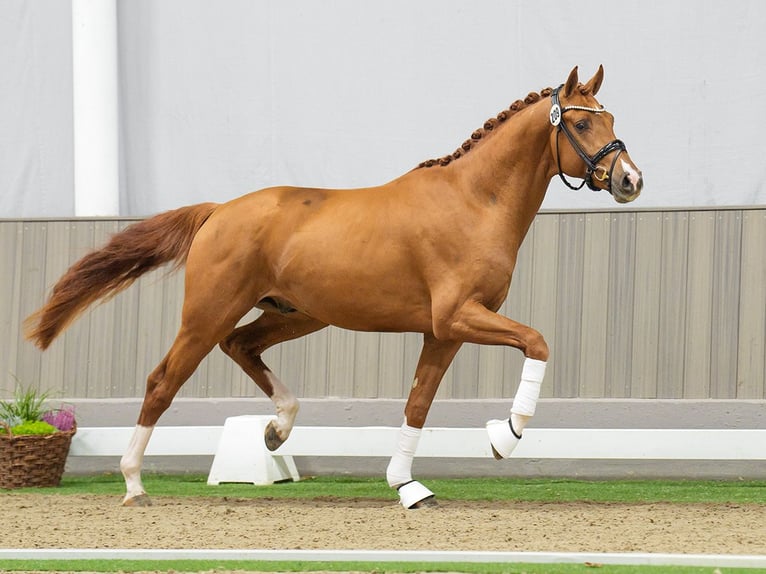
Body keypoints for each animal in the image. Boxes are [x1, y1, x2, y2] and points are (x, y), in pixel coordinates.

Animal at [25, 65, 640, 510]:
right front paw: (504, 435)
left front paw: (407, 487)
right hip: (209, 313)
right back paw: (133, 484)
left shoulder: (443, 332)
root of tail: (219, 211)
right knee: (162, 381)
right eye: (581, 124)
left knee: (241, 345)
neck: (474, 201)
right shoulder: (458, 317)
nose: (631, 180)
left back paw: (277, 430)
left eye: (610, 117)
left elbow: (418, 404)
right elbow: (537, 342)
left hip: (296, 313)